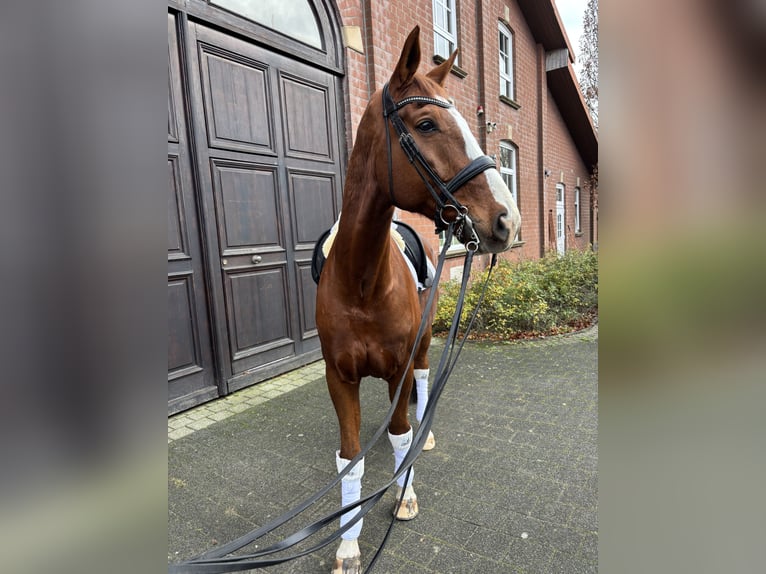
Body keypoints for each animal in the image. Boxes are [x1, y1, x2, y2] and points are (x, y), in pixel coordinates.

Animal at [315, 26, 521, 574]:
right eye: (426, 123)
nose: (507, 220)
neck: (361, 282)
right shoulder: (339, 377)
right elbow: (350, 459)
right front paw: (347, 544)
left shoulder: (401, 366)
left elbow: (401, 433)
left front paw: (404, 493)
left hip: (426, 345)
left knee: (425, 385)